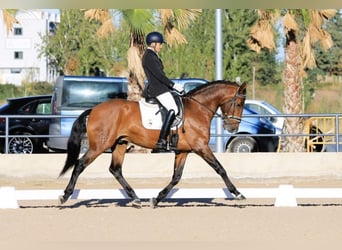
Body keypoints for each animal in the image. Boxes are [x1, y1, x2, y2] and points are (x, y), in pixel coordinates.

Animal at [58, 80, 246, 207]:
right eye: (238, 103)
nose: (232, 128)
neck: (197, 109)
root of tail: (94, 109)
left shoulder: (183, 151)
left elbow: (176, 177)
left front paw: (156, 199)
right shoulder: (201, 147)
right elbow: (220, 169)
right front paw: (237, 194)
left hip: (120, 144)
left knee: (115, 169)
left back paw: (135, 198)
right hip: (99, 146)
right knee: (80, 164)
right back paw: (65, 196)